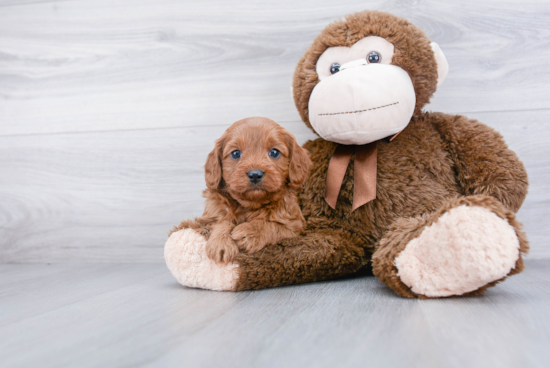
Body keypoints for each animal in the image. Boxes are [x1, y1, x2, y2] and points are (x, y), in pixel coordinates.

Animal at [174, 116, 310, 264]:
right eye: (235, 153)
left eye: (274, 152)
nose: (255, 174)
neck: (249, 205)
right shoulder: (207, 217)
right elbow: (221, 220)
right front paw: (221, 242)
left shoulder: (295, 229)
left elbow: (273, 227)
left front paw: (250, 232)